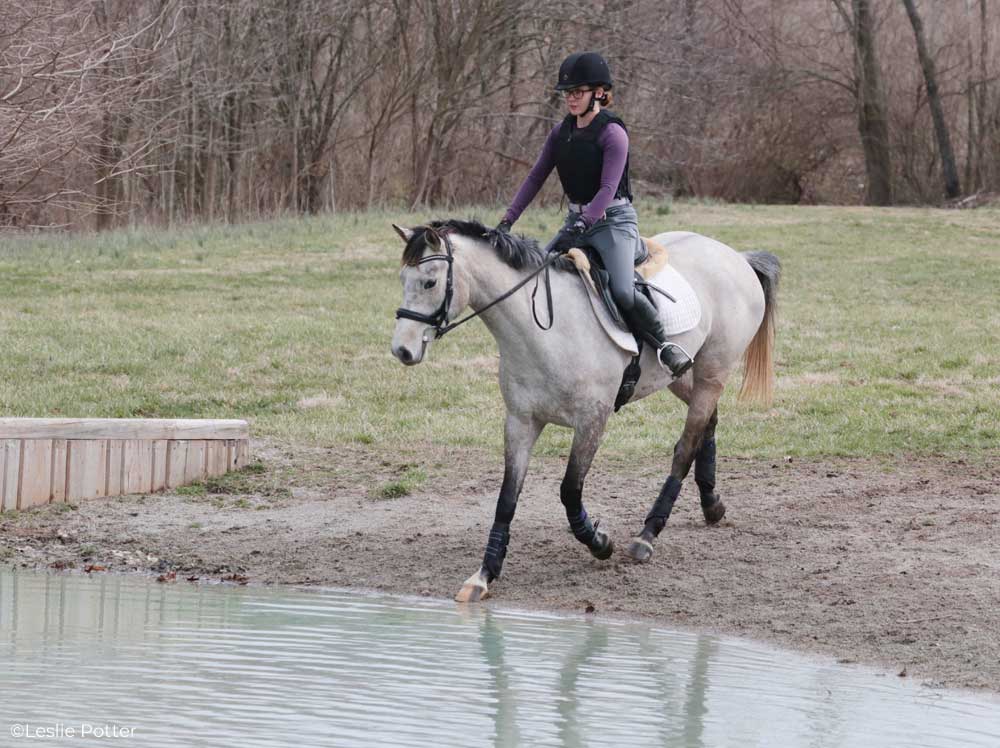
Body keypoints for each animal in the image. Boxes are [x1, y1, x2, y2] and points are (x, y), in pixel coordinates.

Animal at [390, 218, 780, 600]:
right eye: (402, 280)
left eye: (429, 282)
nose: (401, 351)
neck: (544, 332)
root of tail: (735, 256)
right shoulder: (520, 422)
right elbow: (507, 498)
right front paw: (484, 575)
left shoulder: (592, 421)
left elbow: (569, 490)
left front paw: (599, 542)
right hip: (681, 376)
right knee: (708, 424)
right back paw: (712, 505)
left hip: (712, 372)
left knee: (686, 446)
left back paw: (647, 535)